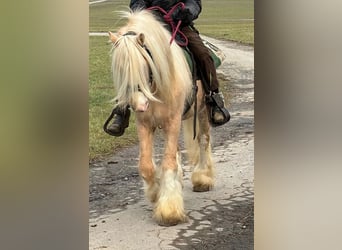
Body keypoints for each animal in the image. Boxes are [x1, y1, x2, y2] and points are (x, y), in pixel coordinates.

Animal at [109, 9, 216, 226]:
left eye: (143, 65)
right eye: (119, 71)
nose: (139, 105)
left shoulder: (173, 121)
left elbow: (168, 162)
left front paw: (169, 210)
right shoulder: (145, 124)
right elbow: (146, 165)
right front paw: (155, 192)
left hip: (201, 112)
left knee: (203, 141)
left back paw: (202, 178)